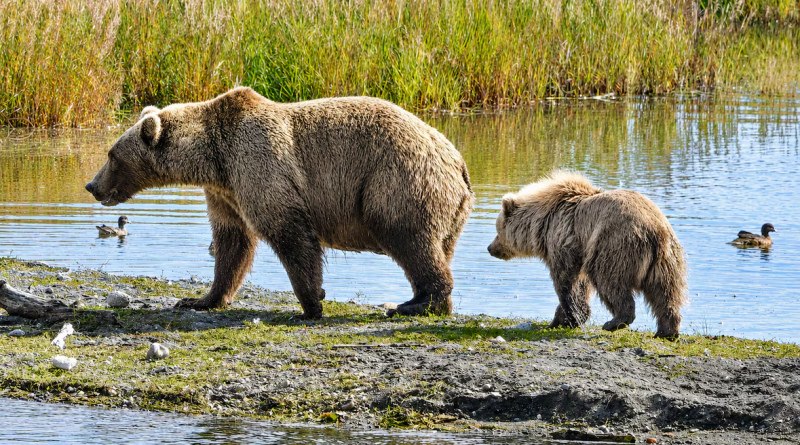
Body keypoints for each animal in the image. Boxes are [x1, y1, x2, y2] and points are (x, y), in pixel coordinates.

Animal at [85, 87, 474, 319]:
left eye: (112, 155)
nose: (91, 185)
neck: (213, 159)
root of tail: (458, 161)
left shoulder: (260, 163)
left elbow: (288, 232)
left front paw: (311, 303)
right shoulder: (226, 192)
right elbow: (232, 244)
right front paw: (201, 299)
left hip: (398, 179)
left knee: (407, 237)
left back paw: (414, 304)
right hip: (445, 207)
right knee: (435, 247)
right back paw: (432, 305)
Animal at [487, 171, 687, 338]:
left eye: (497, 229)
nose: (490, 248)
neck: (544, 223)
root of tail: (655, 231)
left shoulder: (566, 240)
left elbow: (567, 282)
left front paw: (571, 318)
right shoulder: (581, 249)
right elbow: (581, 285)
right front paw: (560, 320)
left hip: (616, 245)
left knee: (610, 282)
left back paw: (615, 322)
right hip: (666, 260)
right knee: (666, 292)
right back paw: (667, 331)